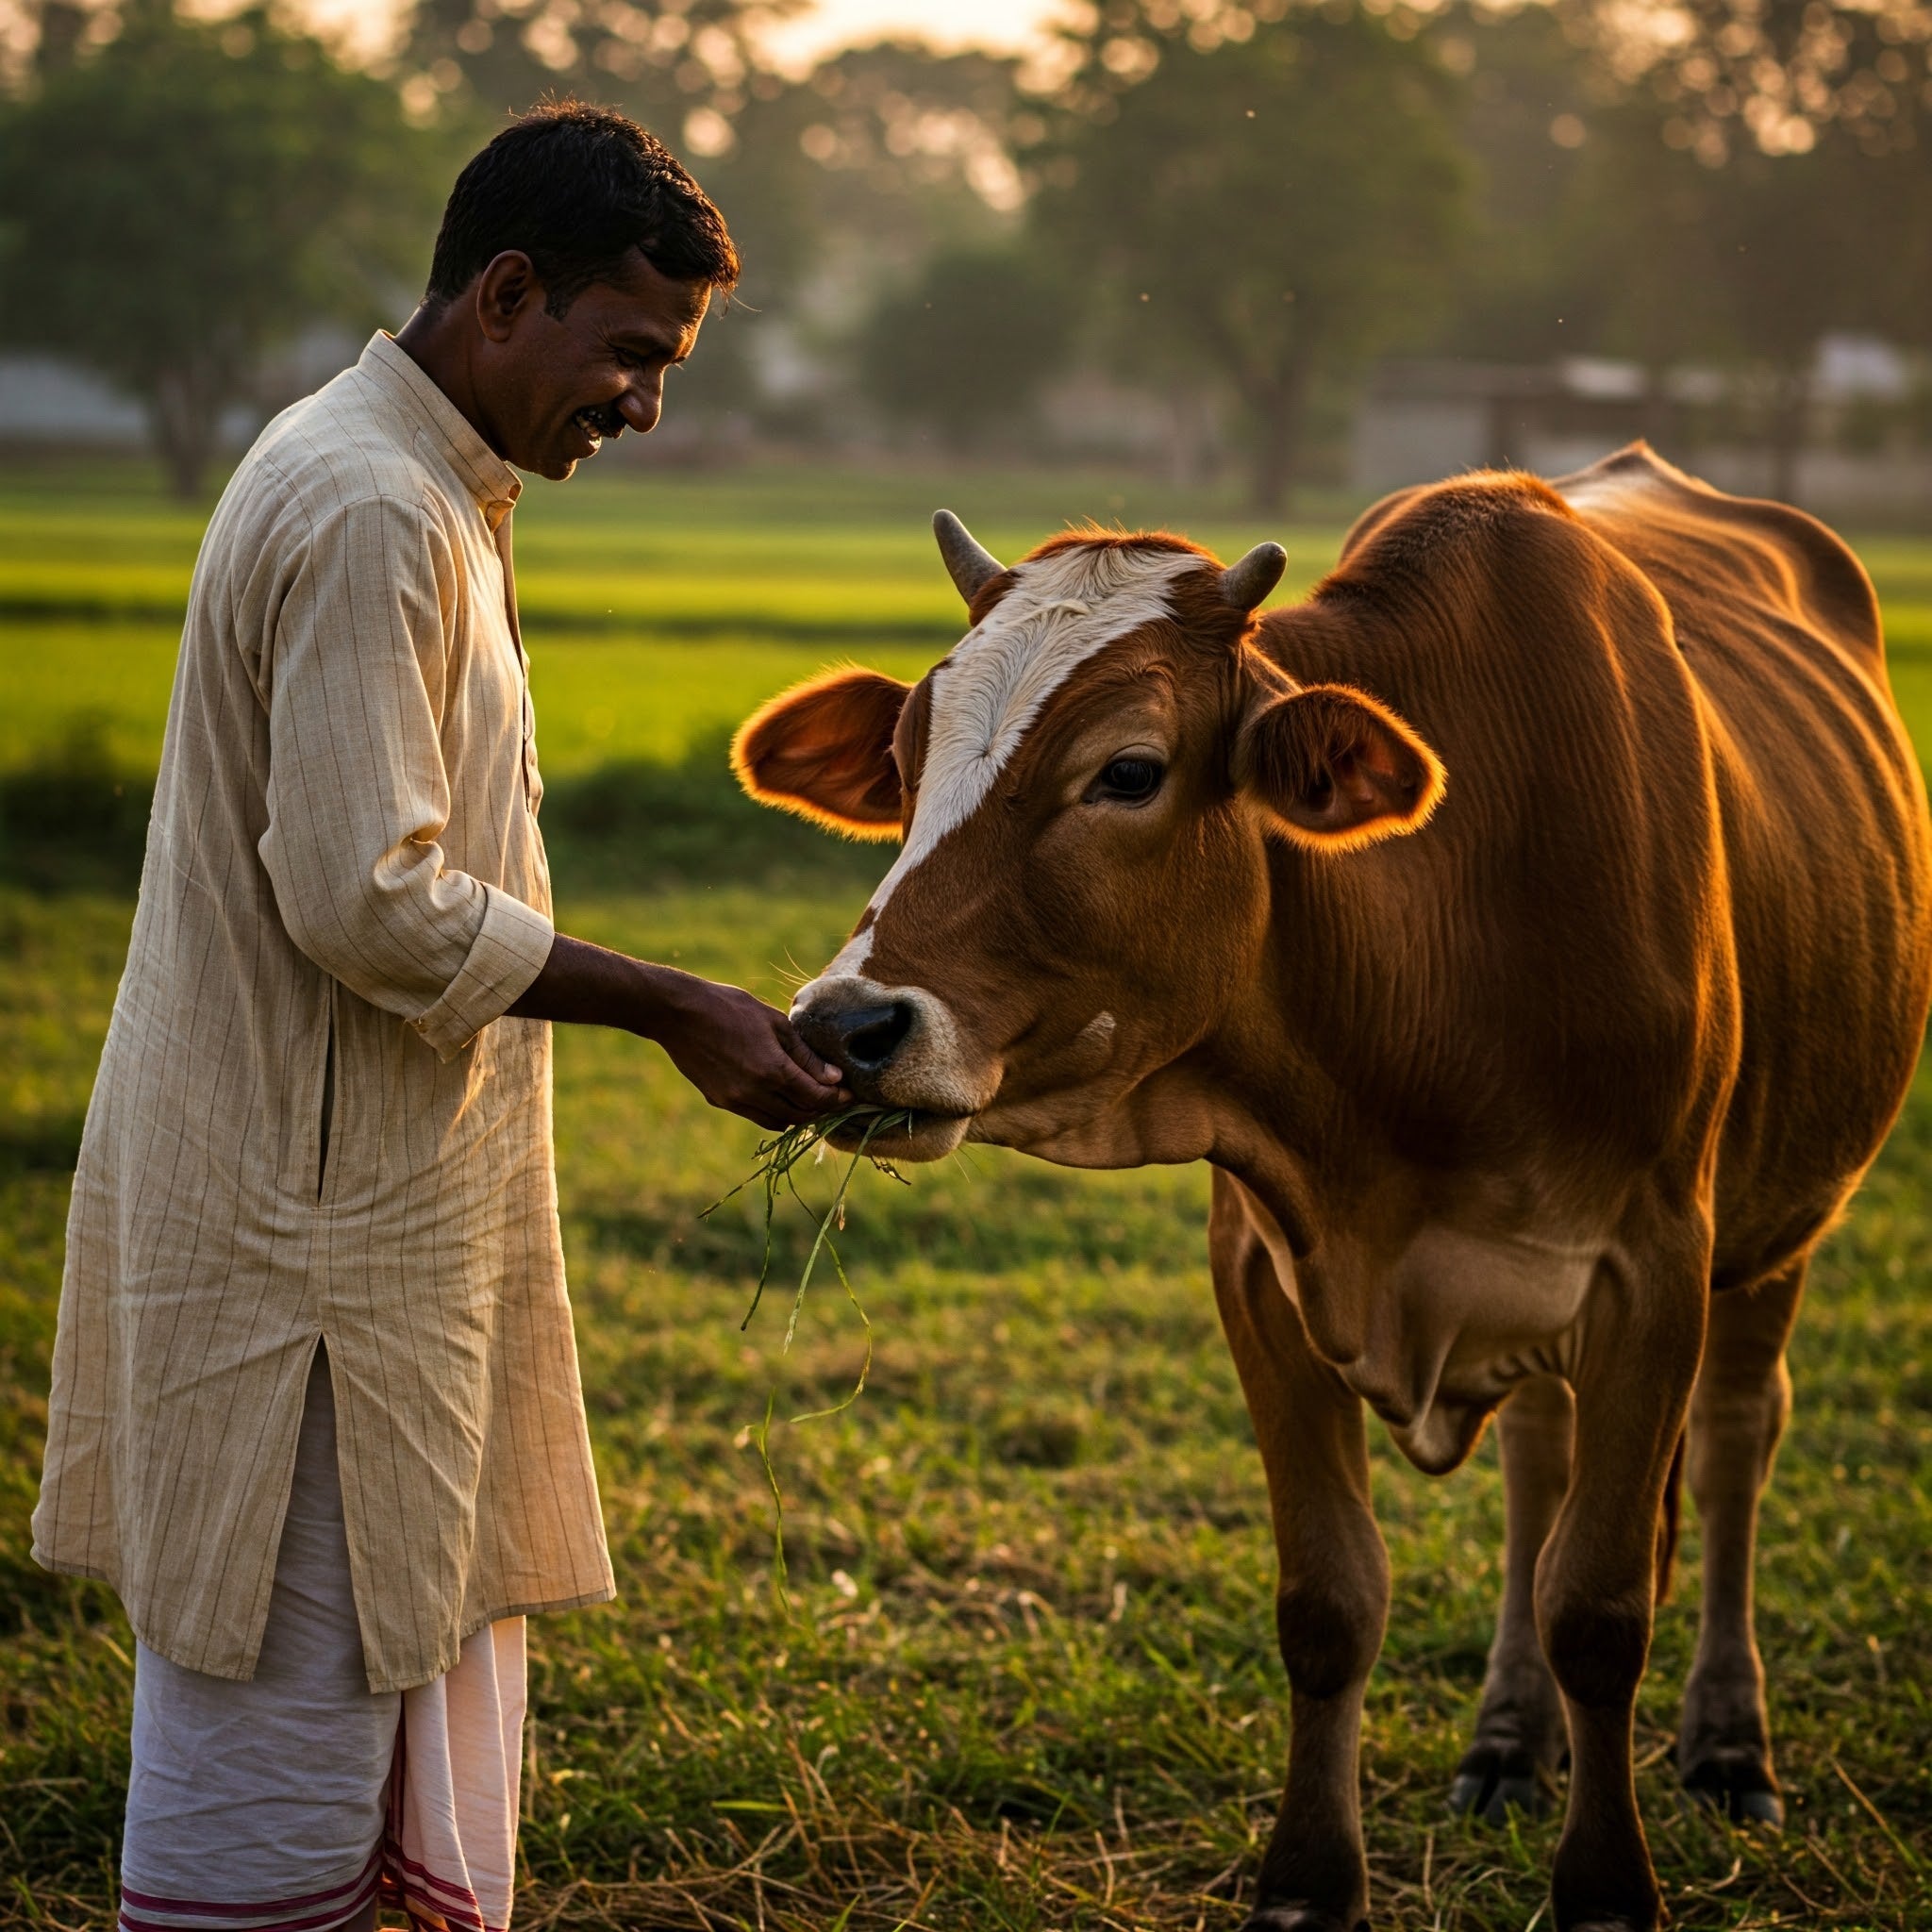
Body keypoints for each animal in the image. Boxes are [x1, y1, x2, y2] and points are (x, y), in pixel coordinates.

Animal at [729, 444, 1932, 1932]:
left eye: (1129, 771)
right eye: (902, 762)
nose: (845, 1025)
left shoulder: (1654, 1265)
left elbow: (1599, 1607)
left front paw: (1606, 1888)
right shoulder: (1260, 1267)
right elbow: (1331, 1601)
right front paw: (1309, 1882)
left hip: (1778, 1231)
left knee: (1730, 1445)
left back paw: (1724, 1747)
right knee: (1541, 1461)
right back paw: (1507, 1742)